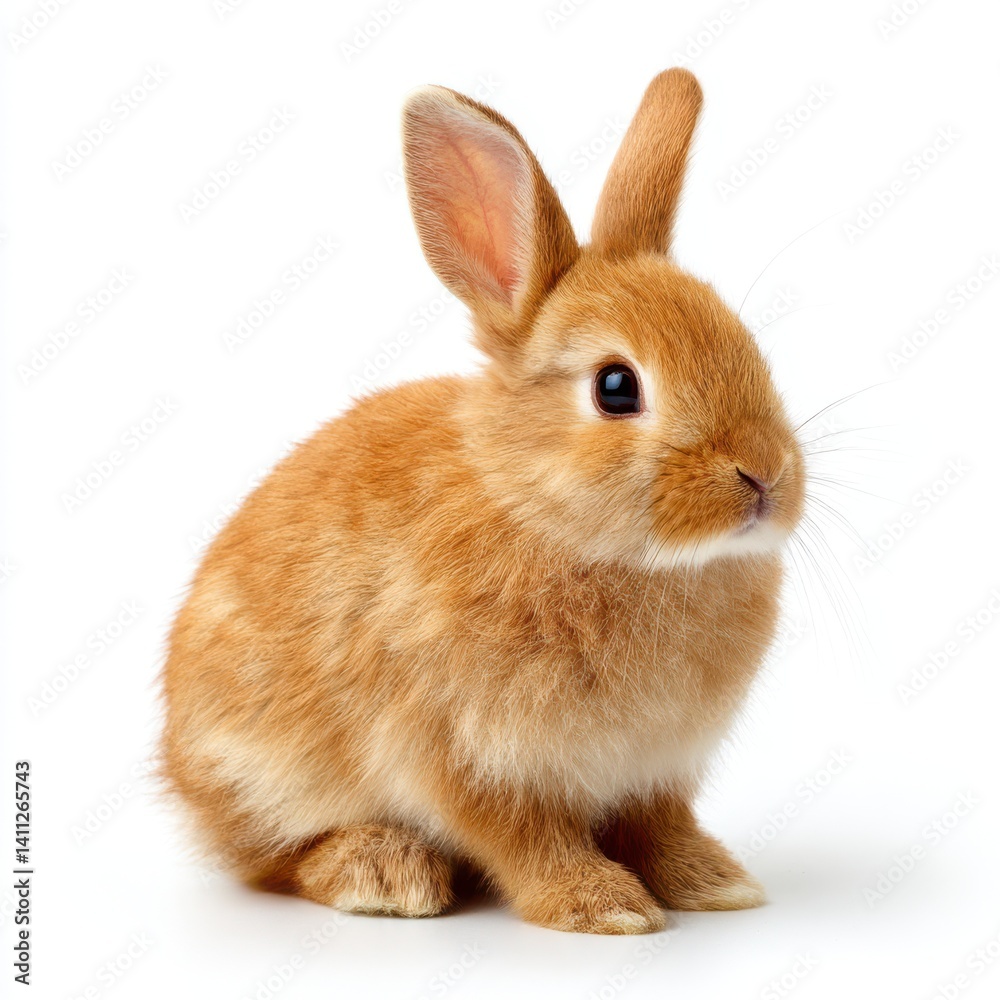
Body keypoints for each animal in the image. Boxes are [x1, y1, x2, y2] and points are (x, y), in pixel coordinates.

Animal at [161, 68, 806, 935]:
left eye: (746, 345)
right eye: (616, 387)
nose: (765, 474)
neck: (541, 515)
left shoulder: (656, 771)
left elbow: (660, 825)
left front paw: (714, 884)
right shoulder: (462, 752)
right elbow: (525, 839)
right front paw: (604, 907)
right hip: (262, 772)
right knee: (275, 860)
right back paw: (384, 873)